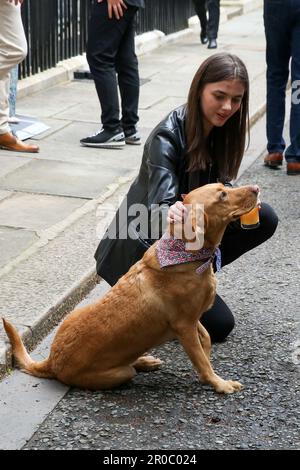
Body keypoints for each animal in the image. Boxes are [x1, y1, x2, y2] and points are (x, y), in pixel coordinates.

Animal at [2, 184, 258, 392]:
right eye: (222, 195)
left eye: (225, 185)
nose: (256, 188)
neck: (185, 254)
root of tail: (52, 362)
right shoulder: (184, 325)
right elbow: (202, 362)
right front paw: (219, 383)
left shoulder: (193, 319)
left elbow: (205, 338)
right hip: (120, 373)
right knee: (129, 369)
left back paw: (146, 360)